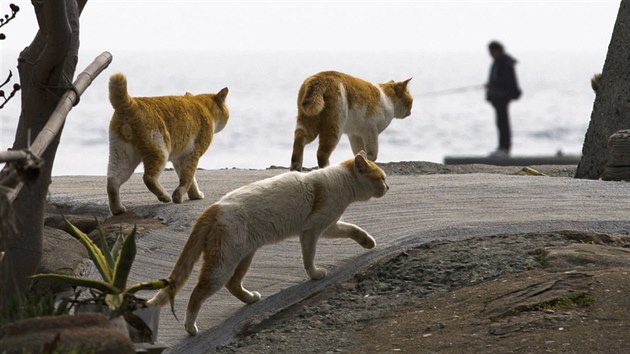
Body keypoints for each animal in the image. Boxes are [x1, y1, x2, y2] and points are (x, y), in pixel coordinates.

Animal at [107, 72, 231, 213]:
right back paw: (164, 196)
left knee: (112, 182)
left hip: (122, 156)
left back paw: (118, 209)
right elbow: (188, 177)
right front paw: (178, 196)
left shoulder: (179, 158)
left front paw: (195, 195)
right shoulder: (193, 154)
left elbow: (190, 179)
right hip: (160, 151)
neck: (203, 107)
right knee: (148, 178)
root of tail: (130, 103)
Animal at [149, 151, 390, 334]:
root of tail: (213, 207)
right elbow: (309, 257)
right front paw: (315, 274)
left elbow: (352, 229)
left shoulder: (329, 226)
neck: (341, 181)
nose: (388, 188)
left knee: (233, 284)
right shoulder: (312, 231)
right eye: (381, 178)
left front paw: (368, 242)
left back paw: (250, 298)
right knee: (198, 292)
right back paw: (191, 327)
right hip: (223, 263)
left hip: (244, 255)